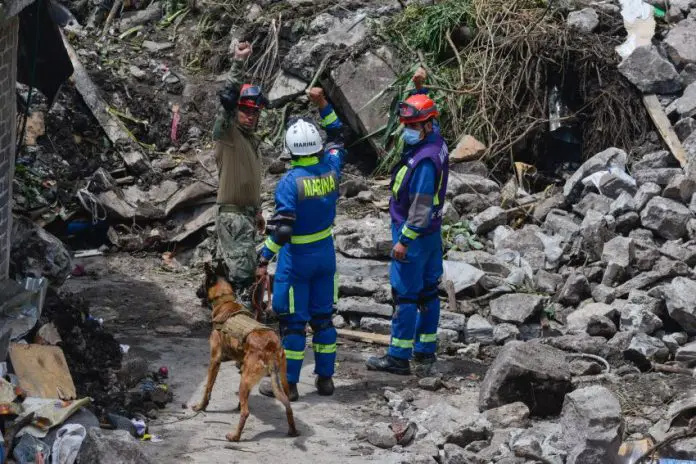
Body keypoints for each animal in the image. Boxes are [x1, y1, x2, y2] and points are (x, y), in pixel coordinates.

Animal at [192, 262, 298, 440]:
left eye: (201, 282)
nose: (196, 292)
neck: (225, 300)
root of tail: (270, 346)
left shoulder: (215, 360)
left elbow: (208, 387)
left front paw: (201, 406)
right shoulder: (241, 364)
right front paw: (237, 404)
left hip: (246, 380)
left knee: (246, 412)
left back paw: (235, 436)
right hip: (281, 380)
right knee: (288, 403)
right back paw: (293, 430)